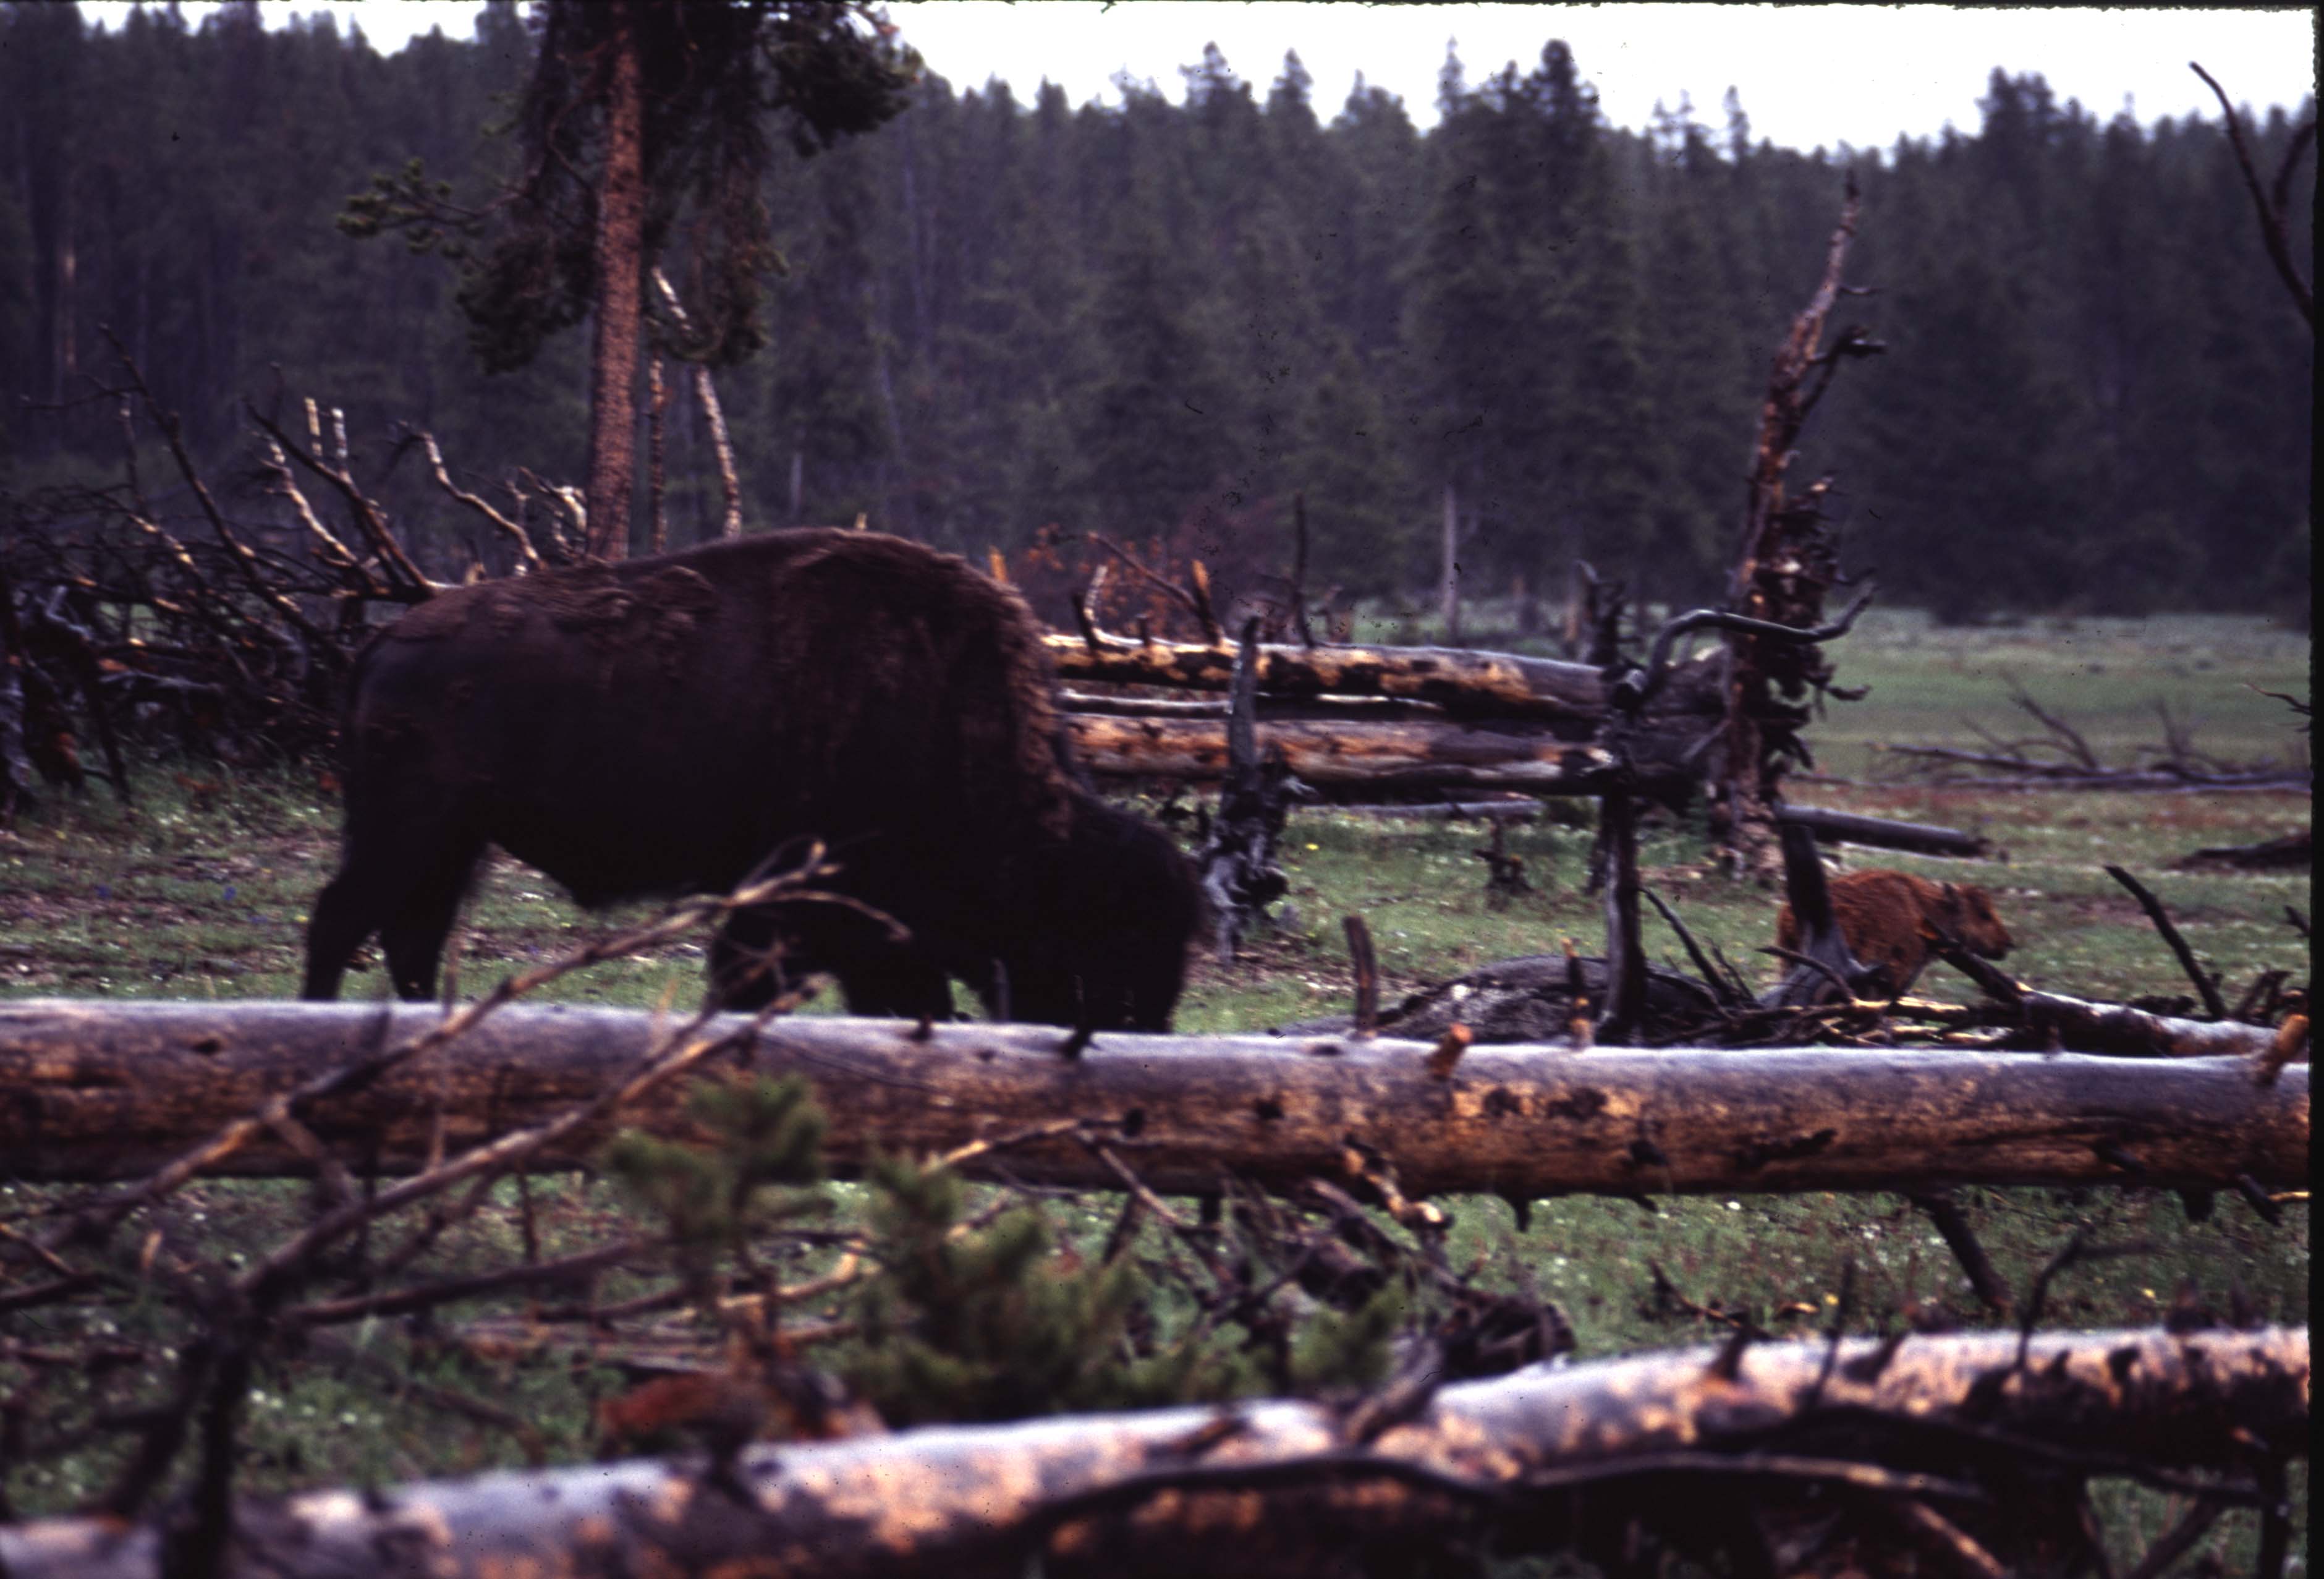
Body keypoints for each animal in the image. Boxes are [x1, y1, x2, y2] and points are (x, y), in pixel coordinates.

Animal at [301, 529, 1200, 1029]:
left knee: (408, 935)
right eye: (1103, 940)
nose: (1140, 1034)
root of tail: (383, 642)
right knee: (341, 919)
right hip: (408, 831)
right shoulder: (799, 902)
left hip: (449, 844)